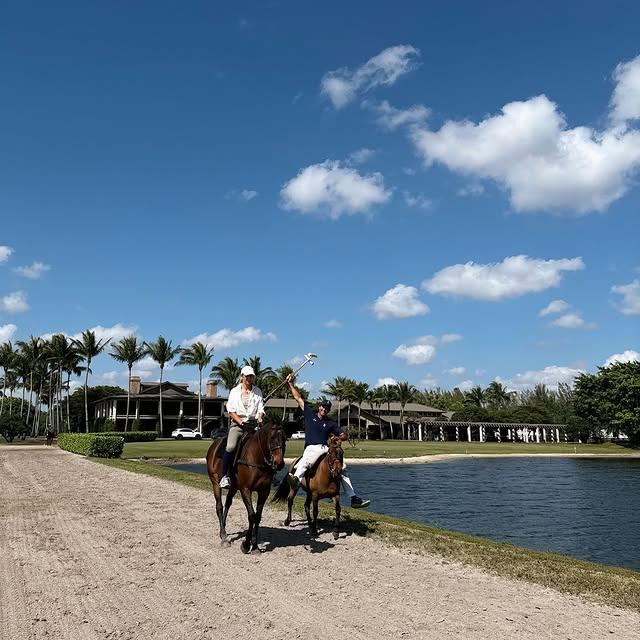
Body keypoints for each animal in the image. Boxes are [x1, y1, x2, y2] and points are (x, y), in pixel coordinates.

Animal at [206, 422, 286, 552]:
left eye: (284, 439)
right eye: (272, 439)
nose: (279, 463)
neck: (257, 458)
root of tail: (214, 444)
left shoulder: (264, 492)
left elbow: (257, 517)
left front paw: (255, 546)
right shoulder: (245, 490)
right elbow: (252, 516)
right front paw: (246, 544)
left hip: (233, 487)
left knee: (228, 504)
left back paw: (223, 531)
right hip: (215, 483)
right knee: (219, 507)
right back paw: (223, 537)